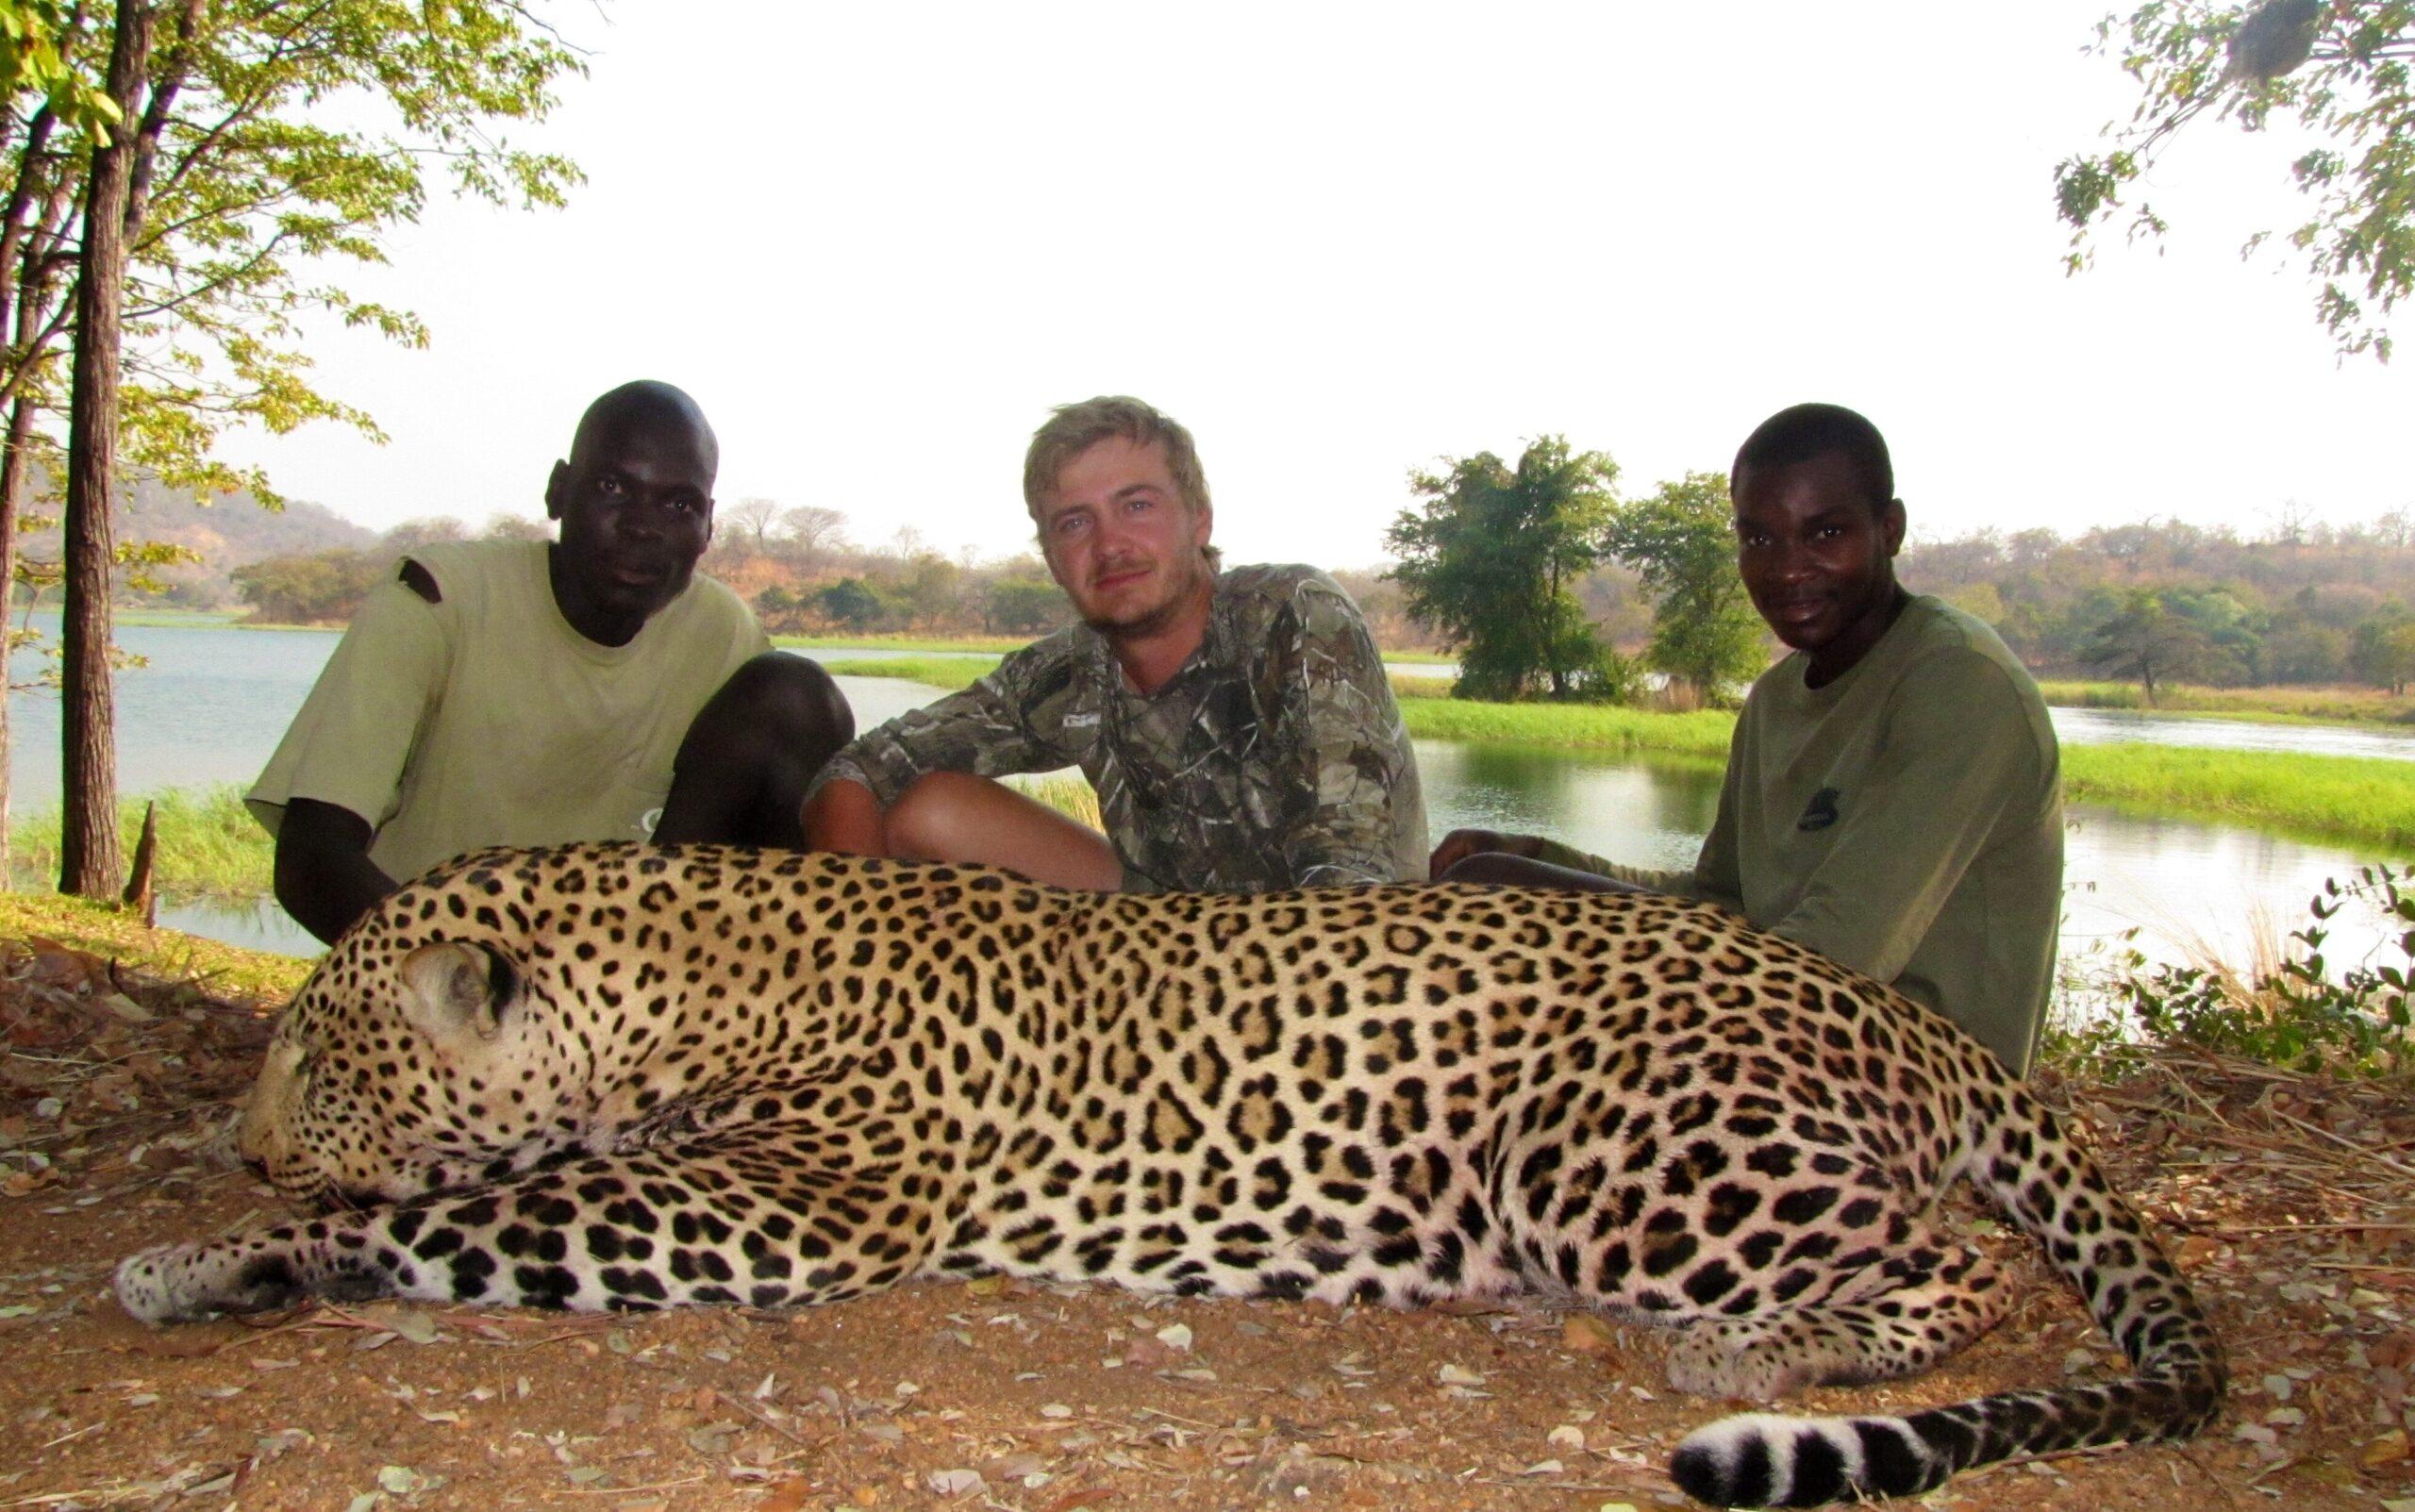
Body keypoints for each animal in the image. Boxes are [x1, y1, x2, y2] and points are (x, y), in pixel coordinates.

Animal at [116, 842, 2223, 1508]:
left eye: (314, 1043)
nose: (226, 1130)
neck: (685, 979)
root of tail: (1883, 1002)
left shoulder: (779, 1207)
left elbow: (452, 1214)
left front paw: (208, 1247)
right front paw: (232, 1257)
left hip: (1621, 1148)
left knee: (1967, 1260)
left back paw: (1772, 1354)